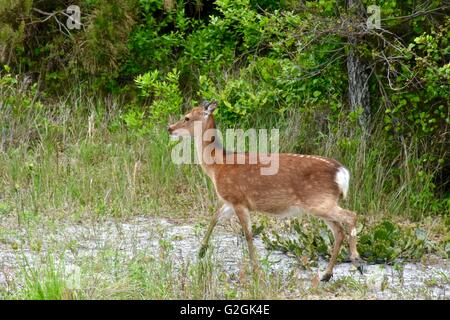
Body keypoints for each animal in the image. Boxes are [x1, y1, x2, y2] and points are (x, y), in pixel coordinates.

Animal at [167, 100, 364, 282]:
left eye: (187, 117)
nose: (170, 128)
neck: (218, 166)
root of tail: (342, 172)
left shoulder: (237, 199)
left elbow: (247, 235)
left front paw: (256, 270)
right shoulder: (230, 200)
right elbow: (214, 217)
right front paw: (201, 251)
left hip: (319, 202)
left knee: (351, 216)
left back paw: (356, 259)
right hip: (322, 204)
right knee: (339, 231)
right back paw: (327, 274)